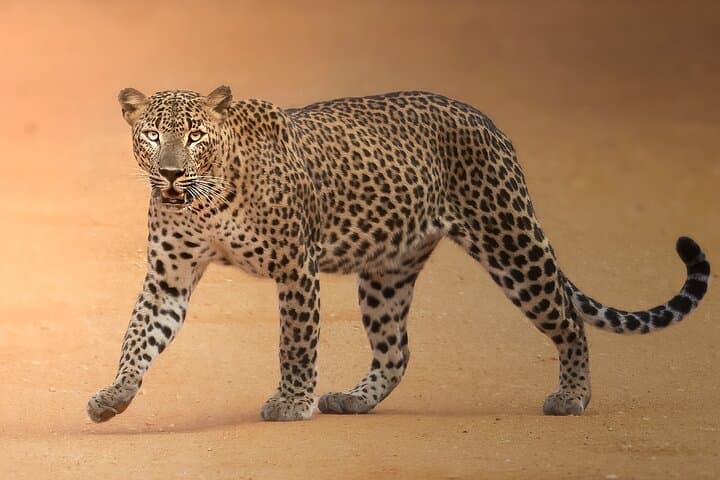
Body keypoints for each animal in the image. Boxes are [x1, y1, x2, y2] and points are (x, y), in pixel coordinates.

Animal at [87, 86, 710, 422]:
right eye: (151, 135)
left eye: (194, 135)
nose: (171, 172)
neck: (205, 200)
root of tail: (485, 118)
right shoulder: (168, 277)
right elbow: (138, 334)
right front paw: (116, 395)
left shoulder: (295, 267)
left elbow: (295, 343)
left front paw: (291, 402)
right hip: (387, 273)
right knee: (396, 351)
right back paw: (354, 400)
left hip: (509, 239)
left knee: (568, 318)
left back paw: (573, 396)